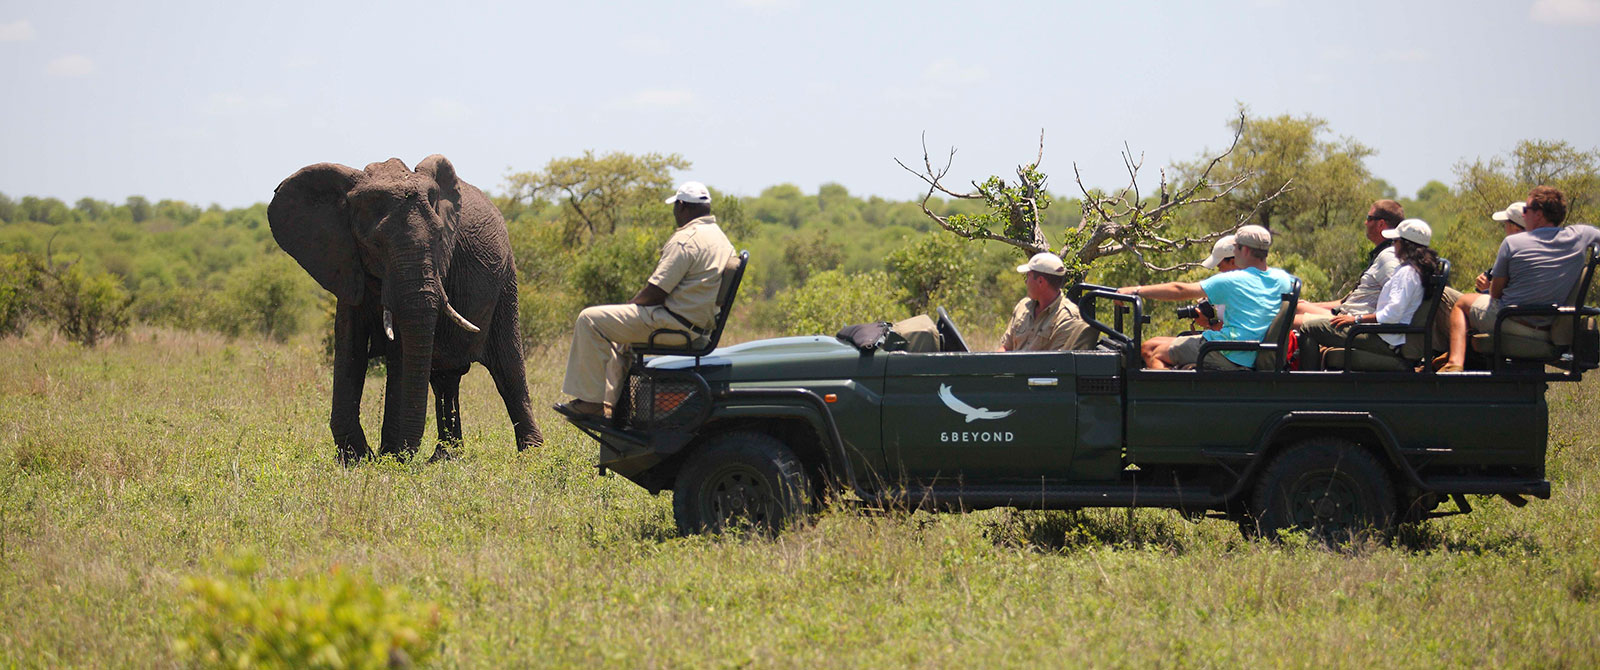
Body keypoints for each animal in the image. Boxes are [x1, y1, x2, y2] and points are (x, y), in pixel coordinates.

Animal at [268, 155, 544, 463]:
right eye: (375, 244)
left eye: (440, 238)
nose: (403, 454)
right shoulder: (345, 262)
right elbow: (349, 346)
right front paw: (356, 459)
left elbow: (400, 352)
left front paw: (390, 458)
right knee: (445, 379)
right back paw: (446, 457)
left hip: (506, 281)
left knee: (508, 369)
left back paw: (531, 455)